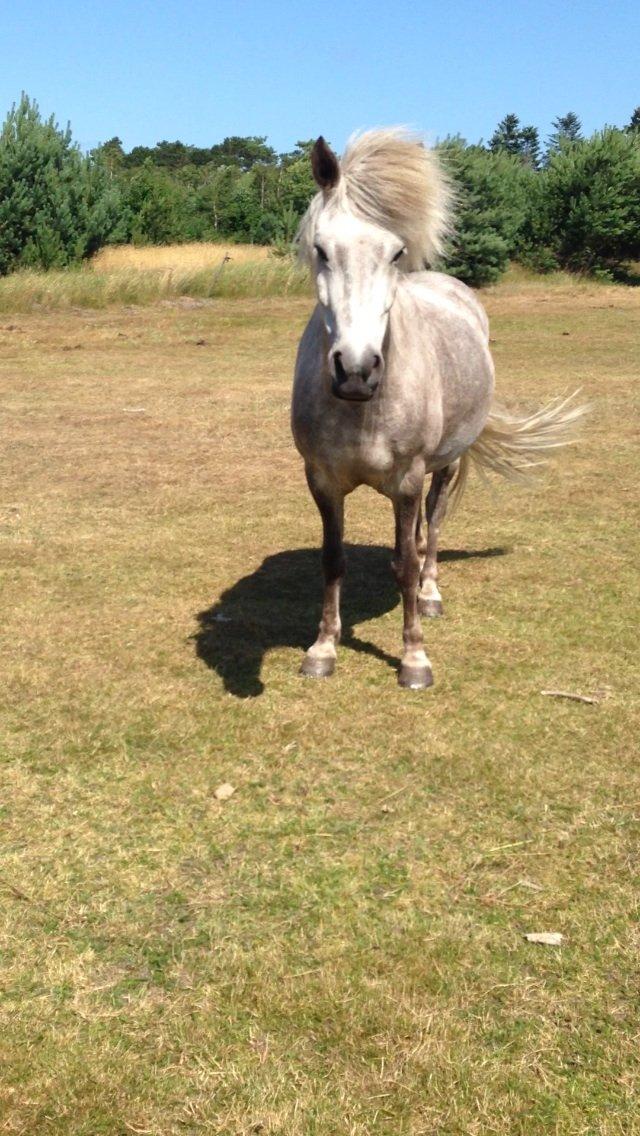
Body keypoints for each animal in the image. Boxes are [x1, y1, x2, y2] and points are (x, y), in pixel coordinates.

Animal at [293, 130, 582, 686]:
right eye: (321, 249)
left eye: (396, 253)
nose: (356, 371)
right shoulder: (321, 479)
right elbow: (332, 560)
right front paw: (323, 648)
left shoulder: (408, 477)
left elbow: (410, 558)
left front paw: (414, 657)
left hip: (445, 465)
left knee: (433, 523)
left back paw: (429, 593)